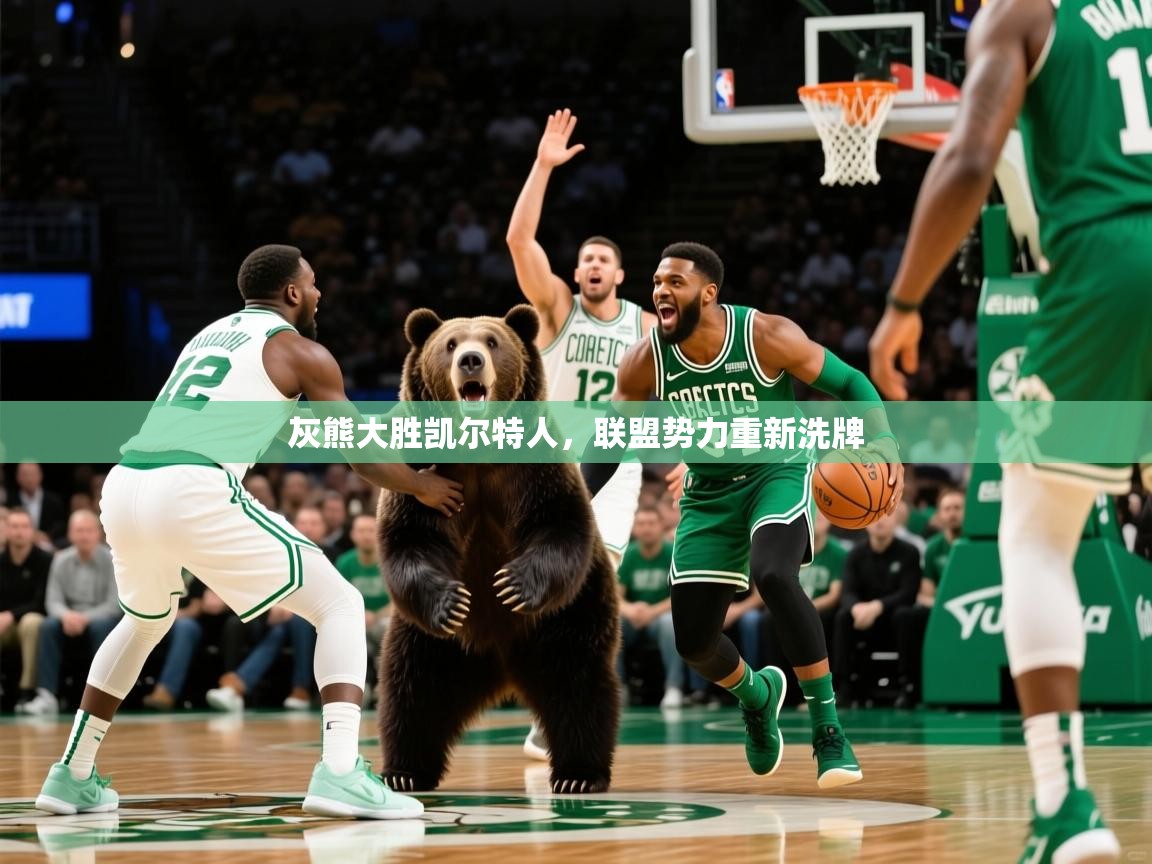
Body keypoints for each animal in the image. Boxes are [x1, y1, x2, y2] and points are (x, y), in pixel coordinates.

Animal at [375, 303, 621, 795]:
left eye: (492, 341)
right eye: (450, 344)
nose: (470, 361)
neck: (478, 448)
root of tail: (502, 666)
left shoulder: (535, 474)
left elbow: (559, 526)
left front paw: (513, 584)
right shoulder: (422, 474)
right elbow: (410, 538)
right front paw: (451, 600)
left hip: (565, 621)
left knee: (579, 685)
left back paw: (579, 774)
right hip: (433, 643)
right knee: (412, 689)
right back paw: (404, 770)